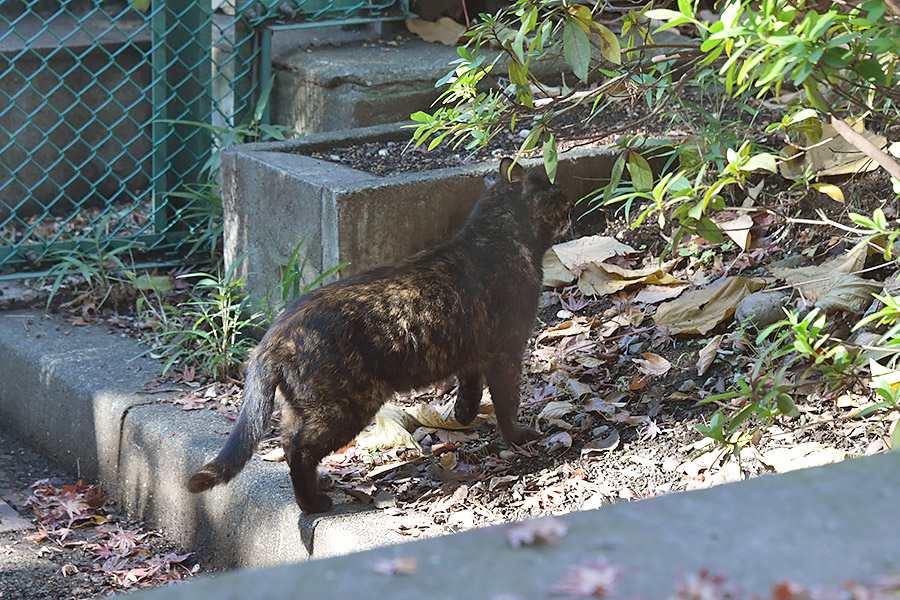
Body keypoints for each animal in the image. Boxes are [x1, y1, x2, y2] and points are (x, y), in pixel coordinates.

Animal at [188, 157, 568, 512]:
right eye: (550, 187)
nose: (567, 199)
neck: (498, 240)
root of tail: (272, 337)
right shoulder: (508, 349)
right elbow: (507, 400)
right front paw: (519, 436)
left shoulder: (473, 352)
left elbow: (470, 387)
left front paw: (463, 415)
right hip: (346, 406)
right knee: (299, 449)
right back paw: (314, 503)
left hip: (301, 407)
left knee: (286, 441)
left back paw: (320, 485)